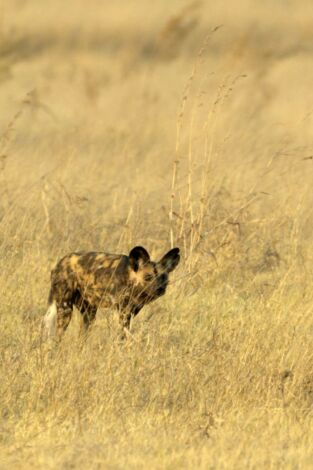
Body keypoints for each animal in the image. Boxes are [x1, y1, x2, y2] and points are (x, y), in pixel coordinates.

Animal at [44, 246, 180, 342]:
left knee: (83, 334)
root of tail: (59, 263)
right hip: (65, 308)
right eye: (148, 277)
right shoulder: (123, 311)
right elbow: (125, 334)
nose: (160, 289)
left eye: (163, 278)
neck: (130, 279)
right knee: (58, 336)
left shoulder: (132, 311)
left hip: (89, 312)